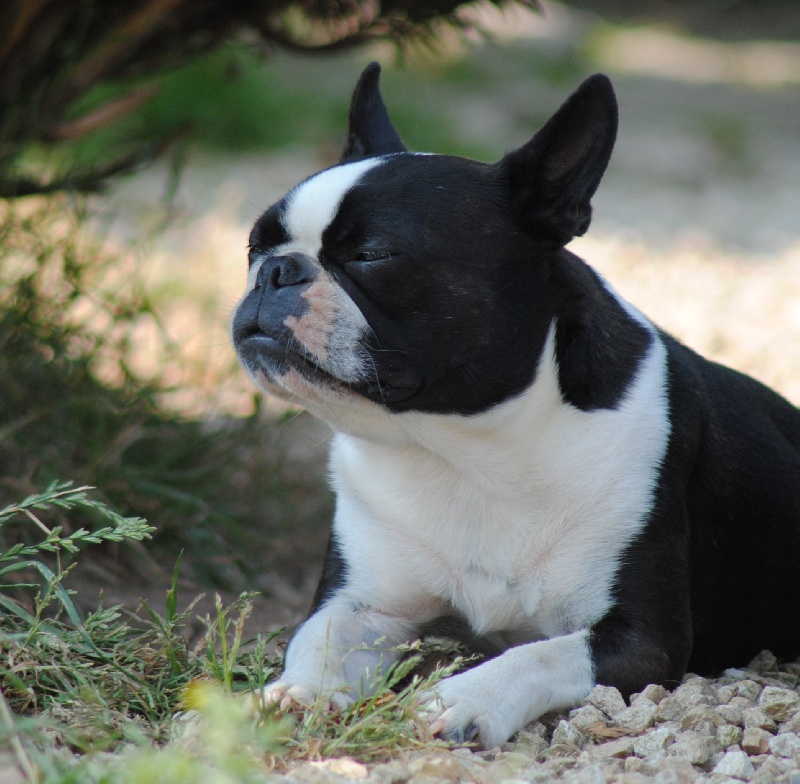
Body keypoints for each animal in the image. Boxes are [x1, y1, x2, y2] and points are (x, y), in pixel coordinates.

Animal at [228, 66, 800, 748]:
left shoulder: (644, 639)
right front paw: (294, 694)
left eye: (372, 254)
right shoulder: (364, 602)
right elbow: (317, 641)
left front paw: (463, 696)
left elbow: (542, 654)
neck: (464, 449)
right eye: (253, 245)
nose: (274, 270)